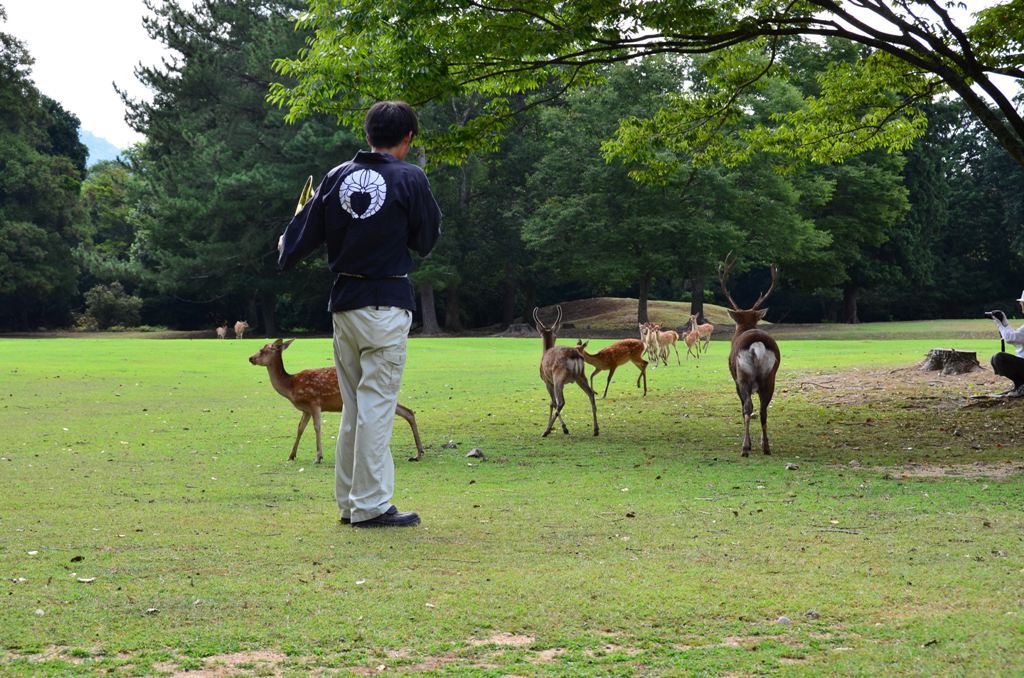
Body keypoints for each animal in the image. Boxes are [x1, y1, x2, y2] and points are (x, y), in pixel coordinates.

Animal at [247, 337, 423, 462]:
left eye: (262, 350)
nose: (250, 358)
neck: (291, 387)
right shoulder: (306, 409)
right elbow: (300, 428)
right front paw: (291, 455)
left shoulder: (314, 401)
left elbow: (317, 427)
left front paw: (318, 457)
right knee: (408, 411)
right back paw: (418, 453)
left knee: (406, 412)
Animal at [536, 307, 598, 438]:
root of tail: (575, 355)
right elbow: (551, 402)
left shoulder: (548, 381)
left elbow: (552, 402)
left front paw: (561, 428)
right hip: (581, 376)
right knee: (591, 394)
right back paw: (596, 430)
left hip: (558, 378)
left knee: (561, 402)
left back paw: (547, 431)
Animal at [720, 258, 782, 458]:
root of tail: (757, 346)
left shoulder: (735, 380)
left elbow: (743, 409)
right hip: (770, 377)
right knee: (763, 410)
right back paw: (766, 447)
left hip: (743, 376)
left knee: (748, 407)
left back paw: (745, 448)